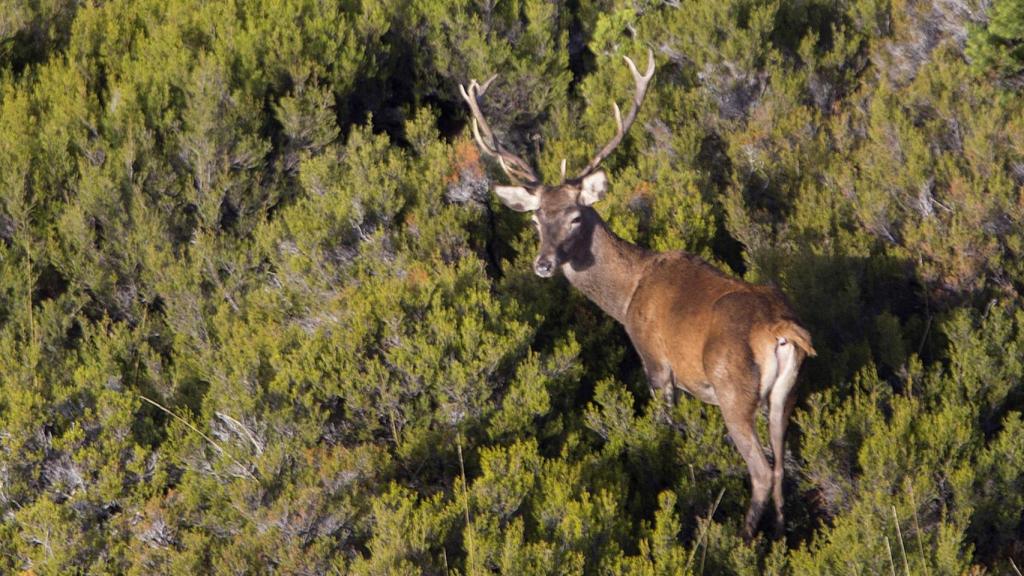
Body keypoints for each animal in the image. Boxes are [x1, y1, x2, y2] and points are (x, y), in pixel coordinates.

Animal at [459, 49, 817, 540]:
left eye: (575, 216)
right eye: (535, 218)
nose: (544, 263)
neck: (627, 296)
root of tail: (779, 329)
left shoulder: (657, 363)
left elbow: (665, 431)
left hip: (734, 390)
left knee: (761, 470)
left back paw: (743, 539)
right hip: (786, 393)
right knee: (782, 466)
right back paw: (780, 536)